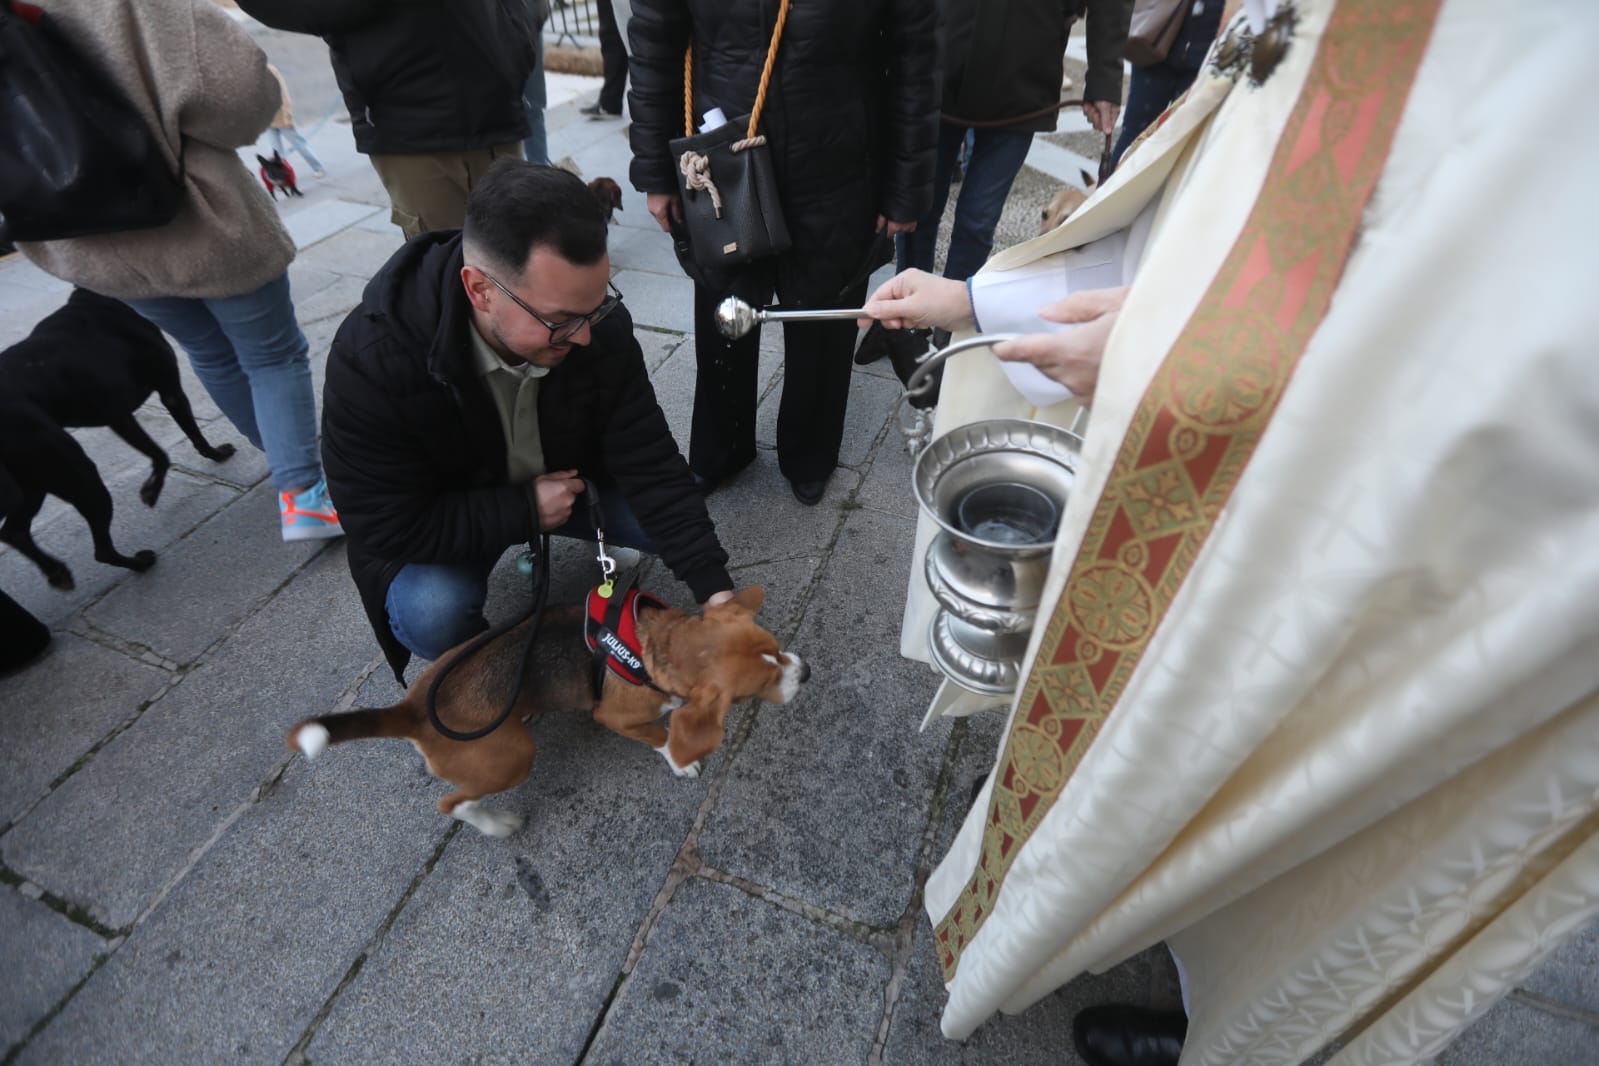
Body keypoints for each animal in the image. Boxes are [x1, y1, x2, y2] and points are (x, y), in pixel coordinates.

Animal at [0, 289, 235, 591]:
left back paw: (56, 571)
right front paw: (154, 489)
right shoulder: (161, 395)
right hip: (75, 472)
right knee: (100, 550)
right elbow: (171, 448)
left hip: (36, 480)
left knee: (14, 531)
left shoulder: (119, 417)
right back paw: (139, 562)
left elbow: (163, 450)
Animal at [287, 588, 805, 837]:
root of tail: (412, 707)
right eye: (755, 689)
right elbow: (660, 736)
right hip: (511, 757)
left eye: (777, 650)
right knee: (451, 804)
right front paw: (680, 762)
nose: (808, 672)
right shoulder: (615, 718)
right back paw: (496, 824)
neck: (657, 647)